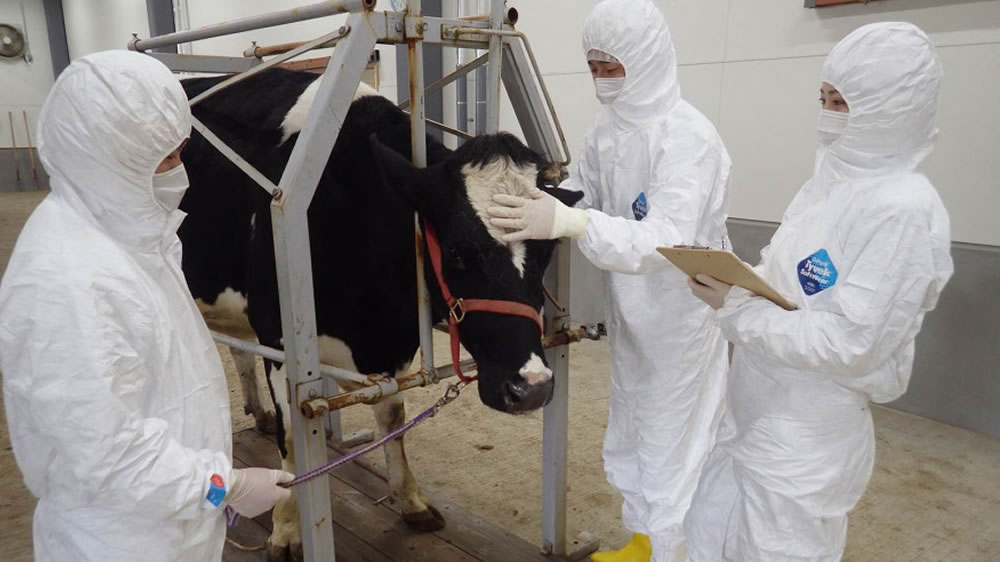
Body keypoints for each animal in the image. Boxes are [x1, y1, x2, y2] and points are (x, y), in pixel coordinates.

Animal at [177, 68, 584, 556]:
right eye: (457, 251)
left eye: (547, 249)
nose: (533, 388)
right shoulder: (280, 336)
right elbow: (293, 442)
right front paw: (288, 530)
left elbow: (393, 417)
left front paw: (410, 500)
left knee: (238, 351)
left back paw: (259, 411)